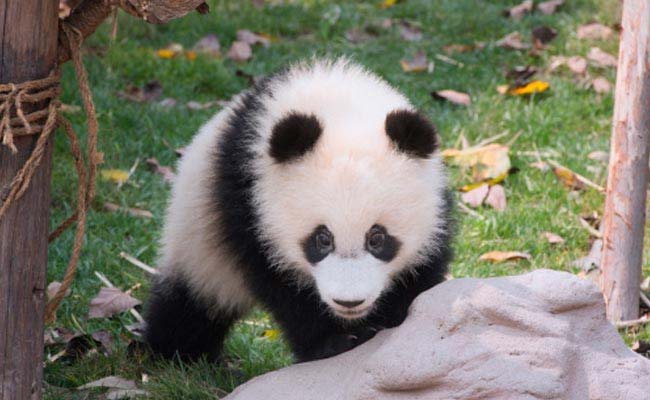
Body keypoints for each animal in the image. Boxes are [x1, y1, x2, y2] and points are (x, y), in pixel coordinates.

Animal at [144, 58, 454, 363]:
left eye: (377, 238)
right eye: (322, 238)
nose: (349, 302)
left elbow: (422, 268)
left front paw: (395, 322)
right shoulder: (247, 200)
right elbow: (280, 285)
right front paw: (333, 342)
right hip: (198, 235)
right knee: (189, 306)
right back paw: (176, 352)